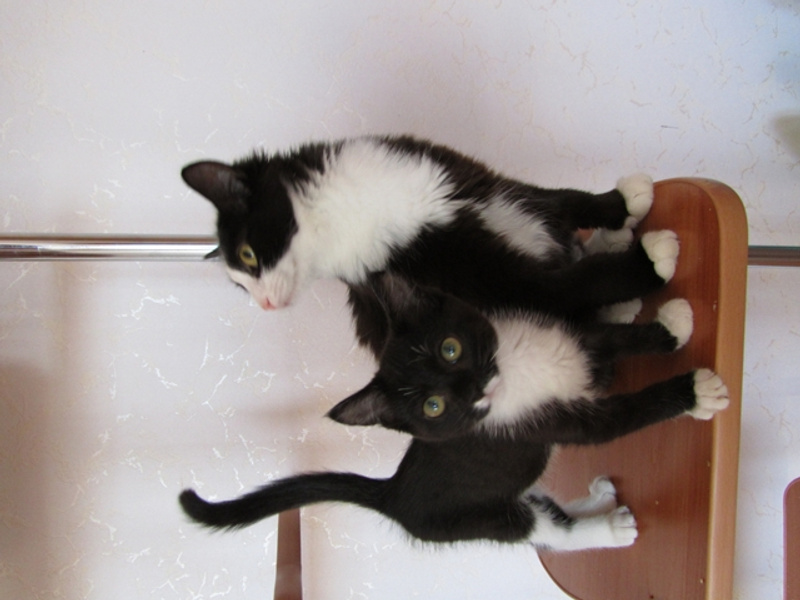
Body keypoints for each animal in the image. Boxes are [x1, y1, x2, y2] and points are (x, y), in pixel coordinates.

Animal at [179, 274, 728, 551]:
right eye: (434, 406)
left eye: (450, 348)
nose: (475, 387)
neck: (517, 373)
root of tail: (392, 494)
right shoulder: (560, 423)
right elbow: (626, 414)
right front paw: (697, 392)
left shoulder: (570, 338)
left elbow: (611, 338)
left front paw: (670, 326)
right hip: (478, 518)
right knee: (544, 533)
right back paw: (609, 529)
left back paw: (597, 496)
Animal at [181, 135, 679, 354]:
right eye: (241, 286)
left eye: (248, 255)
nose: (264, 304)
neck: (338, 210)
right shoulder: (474, 279)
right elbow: (563, 286)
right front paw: (649, 264)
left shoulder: (469, 183)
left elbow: (557, 200)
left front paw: (620, 204)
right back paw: (661, 327)